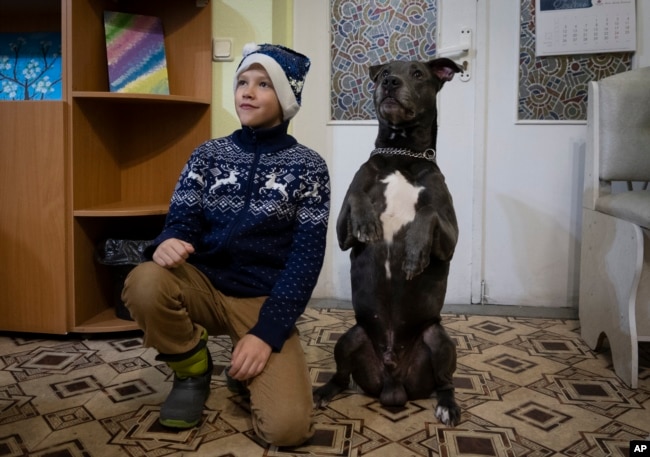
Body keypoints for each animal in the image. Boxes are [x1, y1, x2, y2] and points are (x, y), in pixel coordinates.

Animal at [312, 58, 460, 426]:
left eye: (419, 73)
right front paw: (368, 222)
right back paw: (322, 392)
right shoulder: (342, 229)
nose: (390, 82)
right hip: (350, 337)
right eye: (383, 73)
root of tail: (393, 384)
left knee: (445, 382)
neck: (401, 154)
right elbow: (356, 197)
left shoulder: (450, 238)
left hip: (439, 340)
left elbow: (428, 213)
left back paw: (448, 406)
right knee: (341, 376)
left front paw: (414, 254)